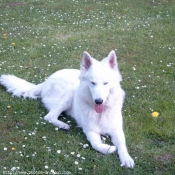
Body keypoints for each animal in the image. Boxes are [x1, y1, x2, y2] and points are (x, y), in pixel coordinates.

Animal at [0, 50, 134, 168]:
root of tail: (47, 80)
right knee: (49, 116)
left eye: (106, 83)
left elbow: (122, 145)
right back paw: (63, 125)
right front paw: (109, 148)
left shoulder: (117, 130)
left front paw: (126, 158)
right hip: (69, 93)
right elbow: (96, 144)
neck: (101, 113)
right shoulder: (89, 130)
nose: (98, 101)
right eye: (92, 83)